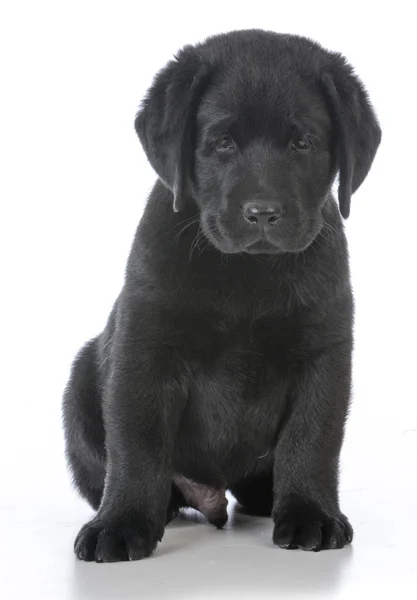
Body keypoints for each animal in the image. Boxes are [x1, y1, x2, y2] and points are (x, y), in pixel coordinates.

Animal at [62, 28, 380, 564]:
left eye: (302, 143)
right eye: (222, 143)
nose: (263, 212)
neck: (247, 273)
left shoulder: (324, 352)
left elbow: (313, 438)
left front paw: (311, 513)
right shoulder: (144, 348)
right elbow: (136, 441)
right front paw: (121, 522)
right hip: (81, 385)